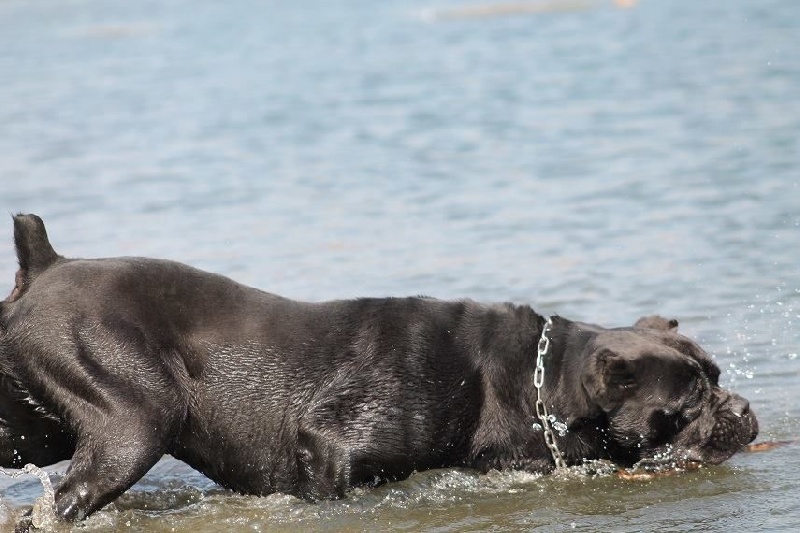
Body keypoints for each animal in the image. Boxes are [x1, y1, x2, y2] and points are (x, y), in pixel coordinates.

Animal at [1, 215, 756, 524]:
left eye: (718, 374)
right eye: (687, 405)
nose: (743, 412)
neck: (529, 377)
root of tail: (48, 265)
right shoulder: (329, 445)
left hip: (34, 426)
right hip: (135, 421)